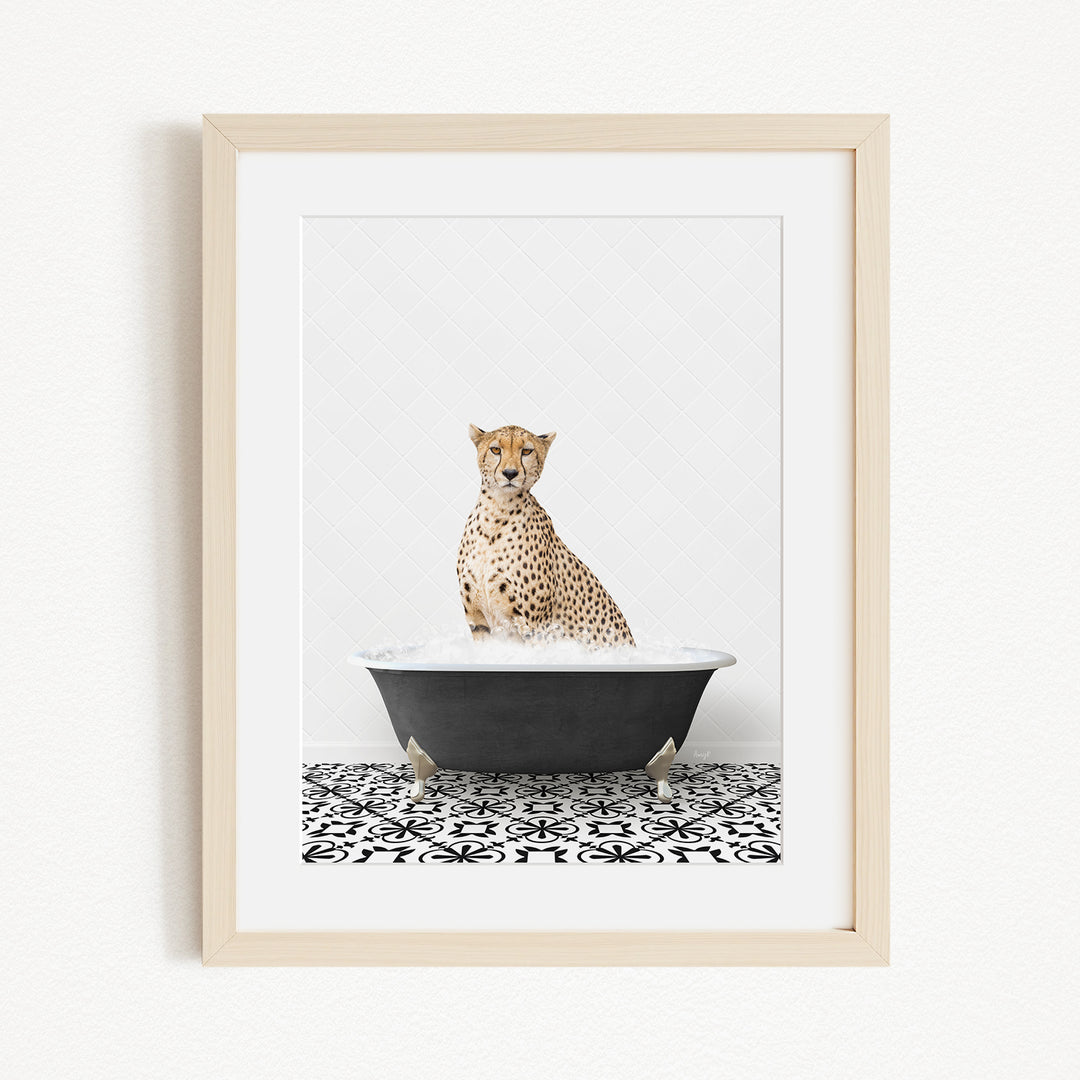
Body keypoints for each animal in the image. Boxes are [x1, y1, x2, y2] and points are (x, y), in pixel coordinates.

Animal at [456, 423, 635, 648]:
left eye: (526, 451)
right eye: (495, 449)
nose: (510, 473)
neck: (497, 511)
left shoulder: (535, 626)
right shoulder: (478, 620)